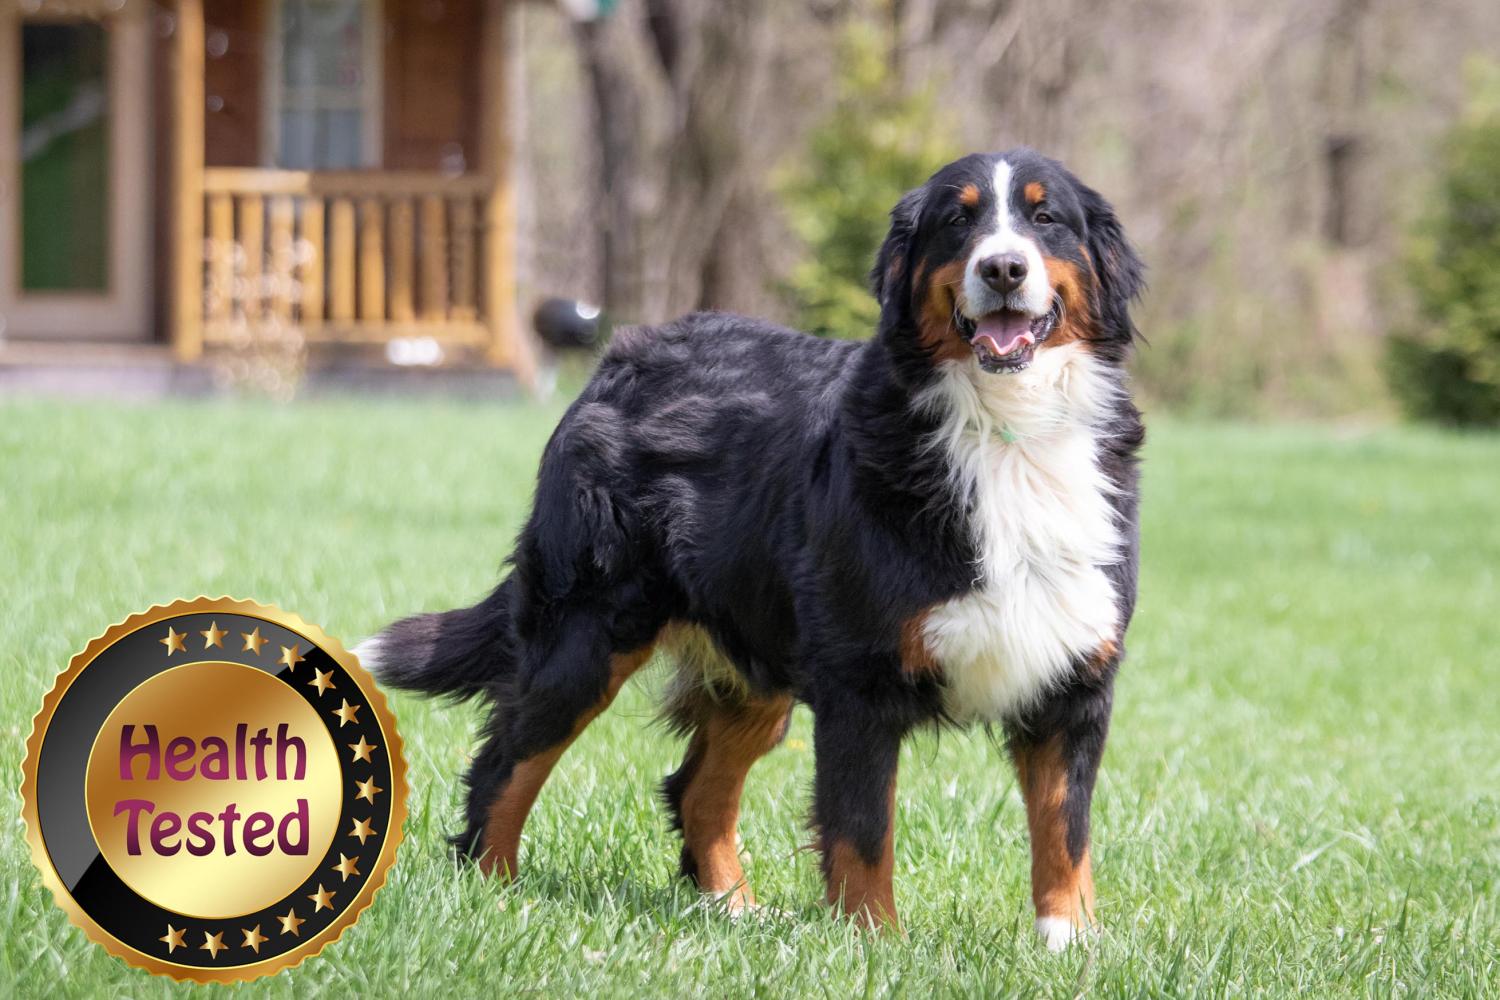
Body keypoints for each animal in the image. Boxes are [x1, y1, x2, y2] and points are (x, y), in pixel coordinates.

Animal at [357, 146, 1140, 947]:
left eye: (1045, 218)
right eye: (960, 219)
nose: (1005, 268)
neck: (1005, 431)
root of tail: (625, 353)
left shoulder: (1074, 681)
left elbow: (1064, 827)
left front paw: (1070, 941)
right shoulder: (861, 682)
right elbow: (863, 830)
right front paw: (873, 943)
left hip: (755, 658)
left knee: (697, 789)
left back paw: (735, 911)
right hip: (585, 635)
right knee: (508, 762)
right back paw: (494, 892)